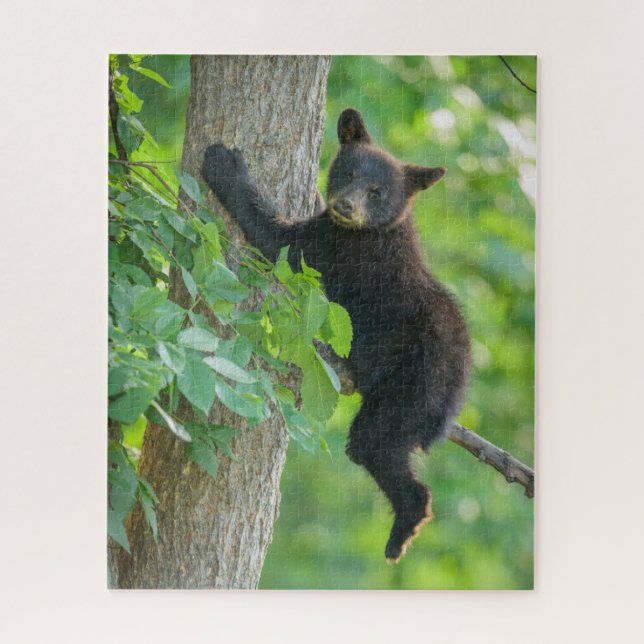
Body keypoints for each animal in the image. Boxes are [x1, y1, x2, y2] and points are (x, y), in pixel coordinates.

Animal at [202, 108, 471, 563]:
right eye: (347, 172)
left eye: (378, 191)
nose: (346, 205)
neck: (373, 230)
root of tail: (459, 387)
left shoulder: (338, 247)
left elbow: (281, 242)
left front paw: (224, 163)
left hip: (413, 385)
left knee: (374, 444)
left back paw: (403, 530)